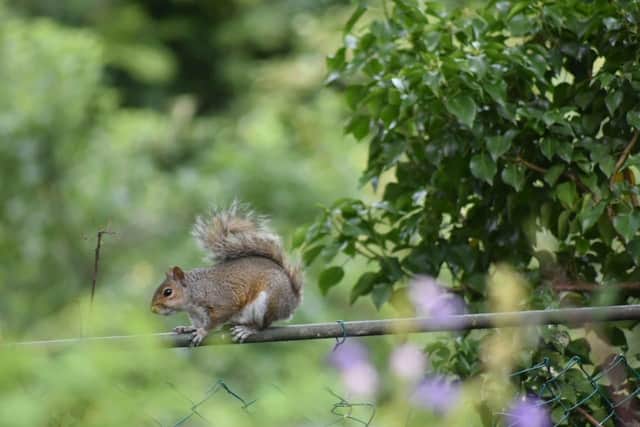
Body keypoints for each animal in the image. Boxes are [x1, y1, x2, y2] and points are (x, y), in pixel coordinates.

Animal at [150, 201, 303, 346]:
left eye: (168, 292)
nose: (153, 309)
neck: (195, 292)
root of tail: (292, 301)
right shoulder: (197, 315)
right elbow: (197, 324)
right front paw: (188, 328)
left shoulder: (222, 303)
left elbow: (215, 321)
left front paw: (202, 332)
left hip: (269, 301)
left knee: (263, 325)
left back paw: (248, 329)